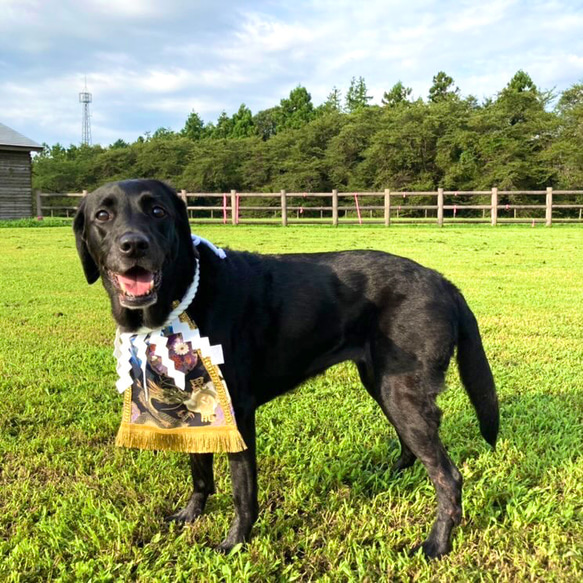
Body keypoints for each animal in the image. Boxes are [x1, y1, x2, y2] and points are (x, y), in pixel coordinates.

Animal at [75, 179, 500, 560]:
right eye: (103, 215)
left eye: (158, 212)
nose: (134, 245)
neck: (184, 295)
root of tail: (444, 282)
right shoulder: (193, 406)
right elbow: (199, 470)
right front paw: (191, 515)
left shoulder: (236, 412)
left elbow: (242, 490)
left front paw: (235, 544)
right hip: (383, 383)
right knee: (412, 448)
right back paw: (390, 476)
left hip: (402, 392)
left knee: (448, 477)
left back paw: (437, 545)